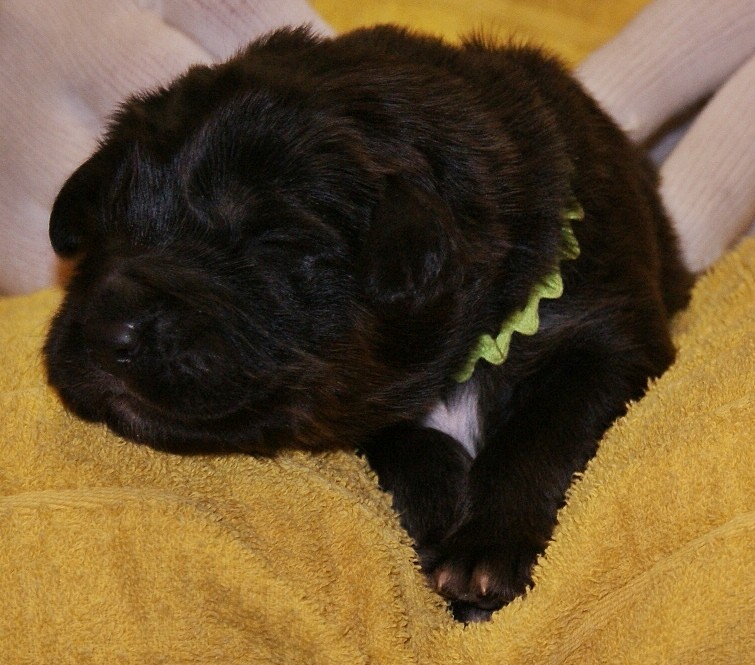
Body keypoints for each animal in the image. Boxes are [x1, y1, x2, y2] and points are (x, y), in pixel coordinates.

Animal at [44, 26, 692, 622]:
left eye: (267, 241)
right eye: (106, 223)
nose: (107, 333)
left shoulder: (609, 330)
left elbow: (542, 430)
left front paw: (482, 553)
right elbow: (401, 439)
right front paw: (439, 509)